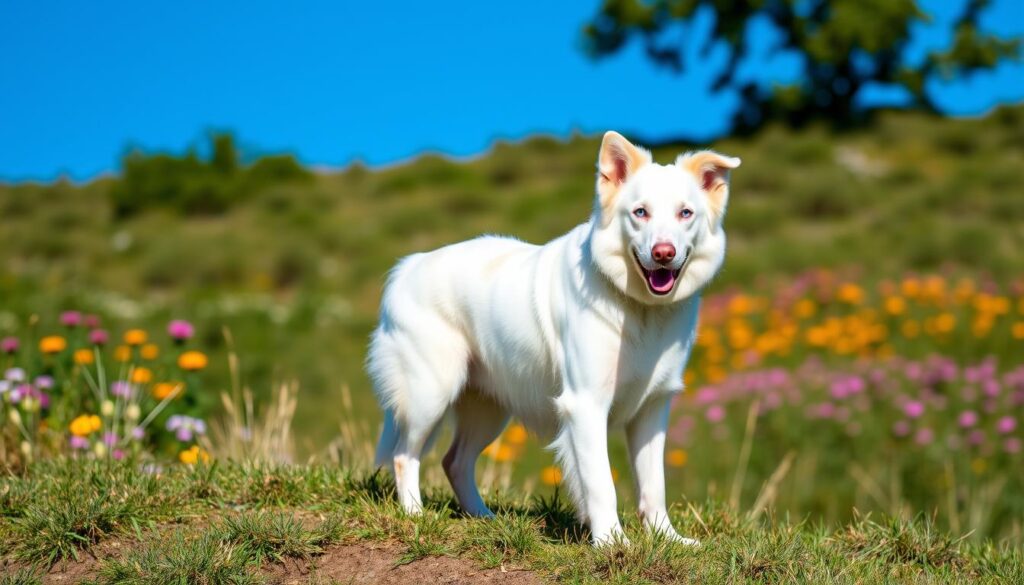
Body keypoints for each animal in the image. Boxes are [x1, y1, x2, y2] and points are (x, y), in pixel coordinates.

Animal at [366, 133, 737, 545]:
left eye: (685, 214)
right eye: (640, 212)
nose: (663, 254)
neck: (639, 308)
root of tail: (408, 266)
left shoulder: (653, 408)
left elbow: (654, 484)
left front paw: (668, 539)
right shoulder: (586, 405)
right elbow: (601, 483)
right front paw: (611, 543)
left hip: (488, 410)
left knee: (455, 461)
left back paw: (484, 518)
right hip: (430, 395)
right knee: (404, 455)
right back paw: (415, 516)